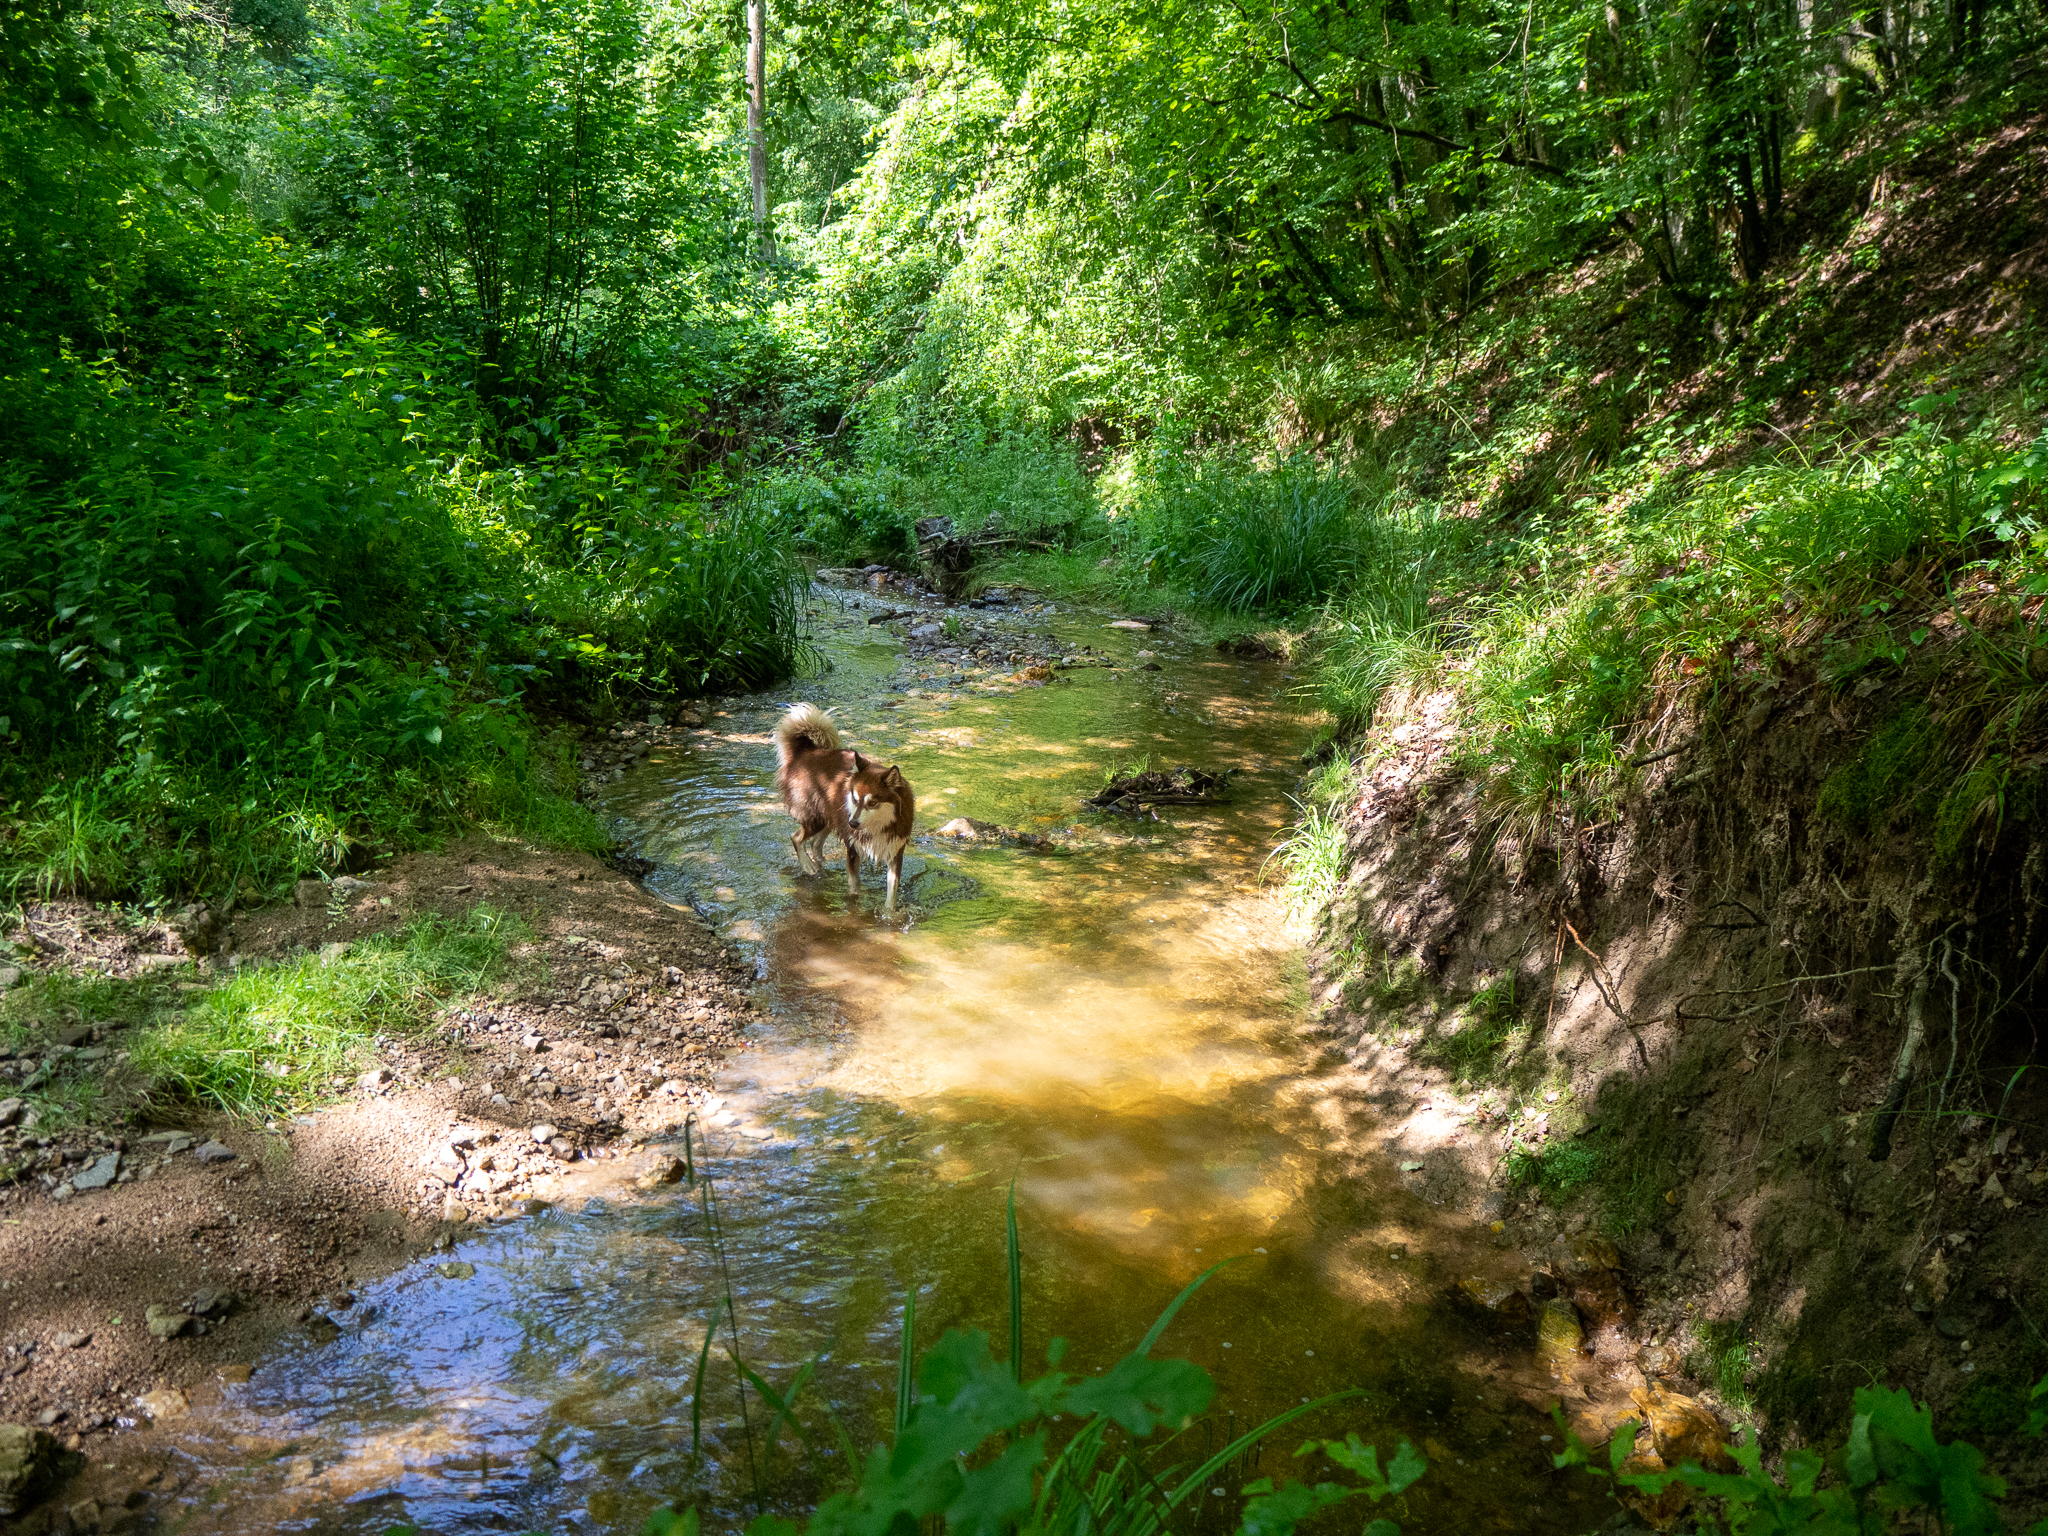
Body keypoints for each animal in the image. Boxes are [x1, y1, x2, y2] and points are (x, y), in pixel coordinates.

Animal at [770, 708, 917, 913]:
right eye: (855, 798)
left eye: (873, 803)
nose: (853, 823)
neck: (877, 826)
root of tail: (806, 752)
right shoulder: (852, 847)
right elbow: (854, 885)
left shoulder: (894, 850)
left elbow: (892, 891)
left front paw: (889, 914)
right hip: (818, 818)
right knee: (797, 837)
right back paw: (808, 866)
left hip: (831, 819)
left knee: (815, 844)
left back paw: (820, 866)